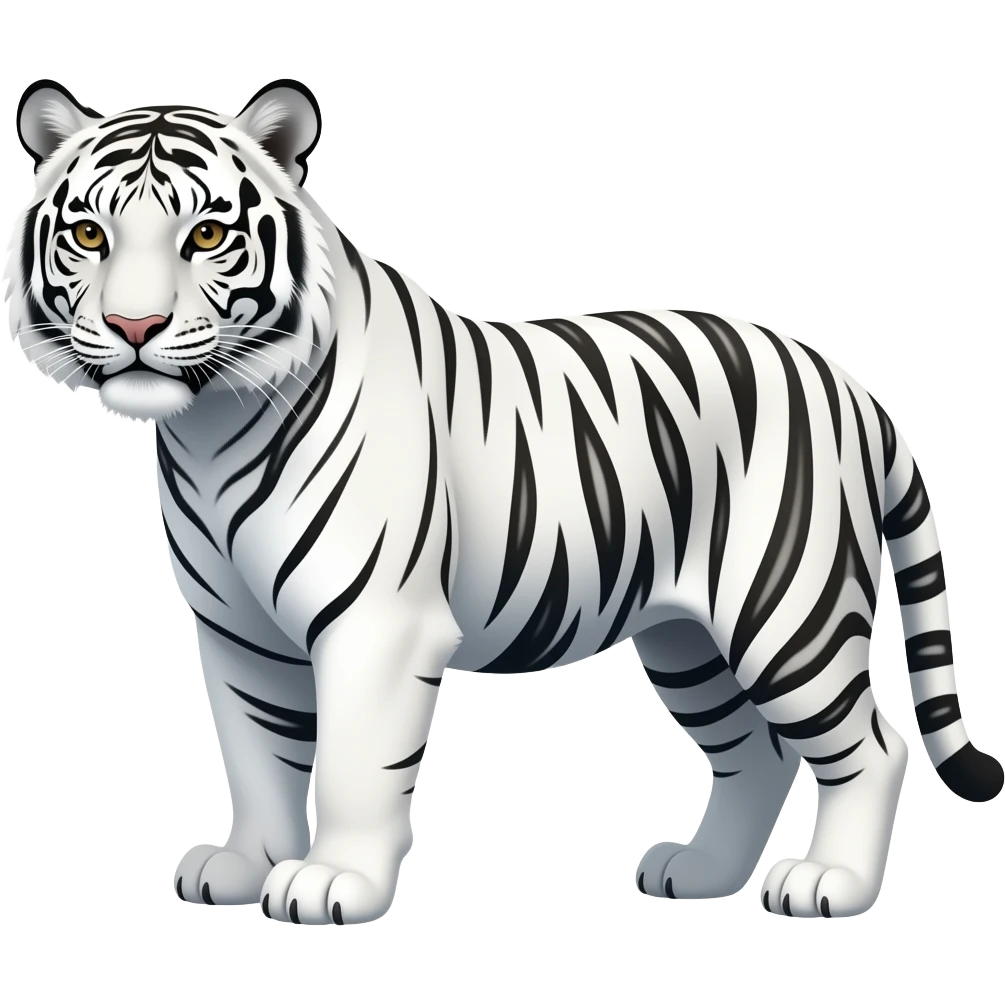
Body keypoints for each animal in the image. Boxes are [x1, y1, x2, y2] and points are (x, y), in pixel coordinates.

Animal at [5, 76, 1000, 928]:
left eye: (207, 238)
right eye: (89, 236)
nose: (136, 328)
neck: (211, 423)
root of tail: (848, 383)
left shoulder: (376, 624)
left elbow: (352, 763)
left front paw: (331, 883)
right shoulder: (236, 631)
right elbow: (256, 755)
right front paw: (244, 867)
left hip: (785, 611)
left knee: (871, 746)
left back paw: (830, 884)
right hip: (687, 639)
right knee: (755, 751)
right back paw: (700, 872)